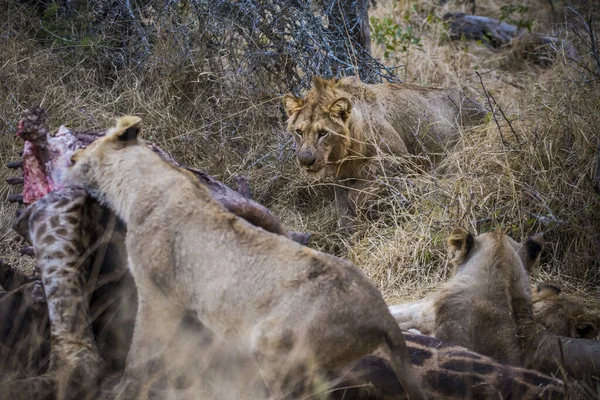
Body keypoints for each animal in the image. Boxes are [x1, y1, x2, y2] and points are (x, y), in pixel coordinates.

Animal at [63, 115, 426, 400]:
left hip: (275, 343)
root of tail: (380, 314)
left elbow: (140, 350)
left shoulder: (158, 294)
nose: (69, 159)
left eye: (80, 152)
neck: (139, 183)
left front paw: (124, 388)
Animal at [284, 76, 486, 230]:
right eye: (299, 132)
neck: (347, 150)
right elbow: (342, 206)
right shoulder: (342, 174)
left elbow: (356, 197)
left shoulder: (401, 160)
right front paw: (350, 230)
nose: (305, 160)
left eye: (323, 133)